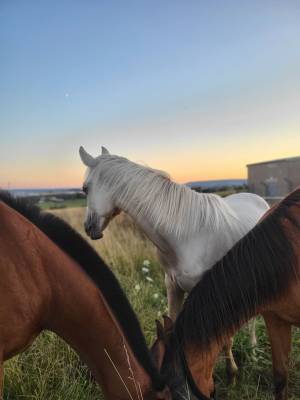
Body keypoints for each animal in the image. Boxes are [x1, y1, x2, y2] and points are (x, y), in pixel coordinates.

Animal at [78, 145, 268, 380]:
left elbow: (222, 337)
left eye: (85, 188)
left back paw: (253, 352)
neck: (187, 235)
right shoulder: (173, 286)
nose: (88, 227)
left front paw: (231, 372)